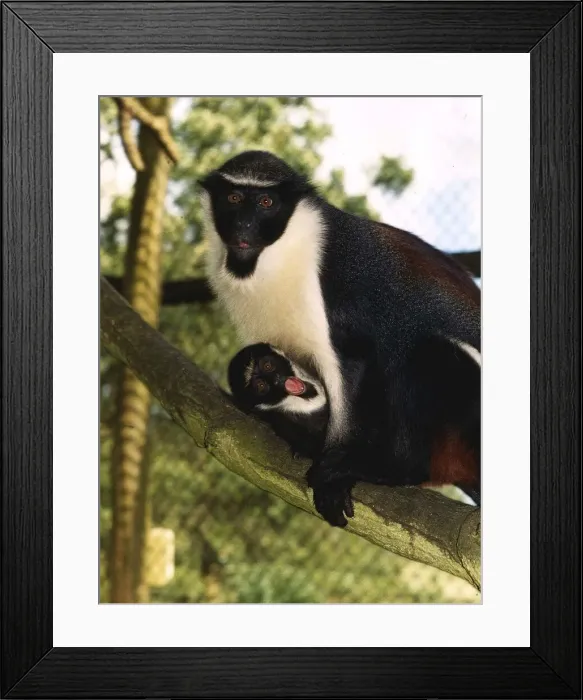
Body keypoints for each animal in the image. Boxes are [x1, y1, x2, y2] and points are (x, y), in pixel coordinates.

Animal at [200, 150, 481, 526]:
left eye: (265, 202)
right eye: (233, 198)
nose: (243, 226)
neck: (283, 250)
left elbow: (352, 363)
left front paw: (333, 475)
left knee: (425, 350)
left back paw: (396, 468)